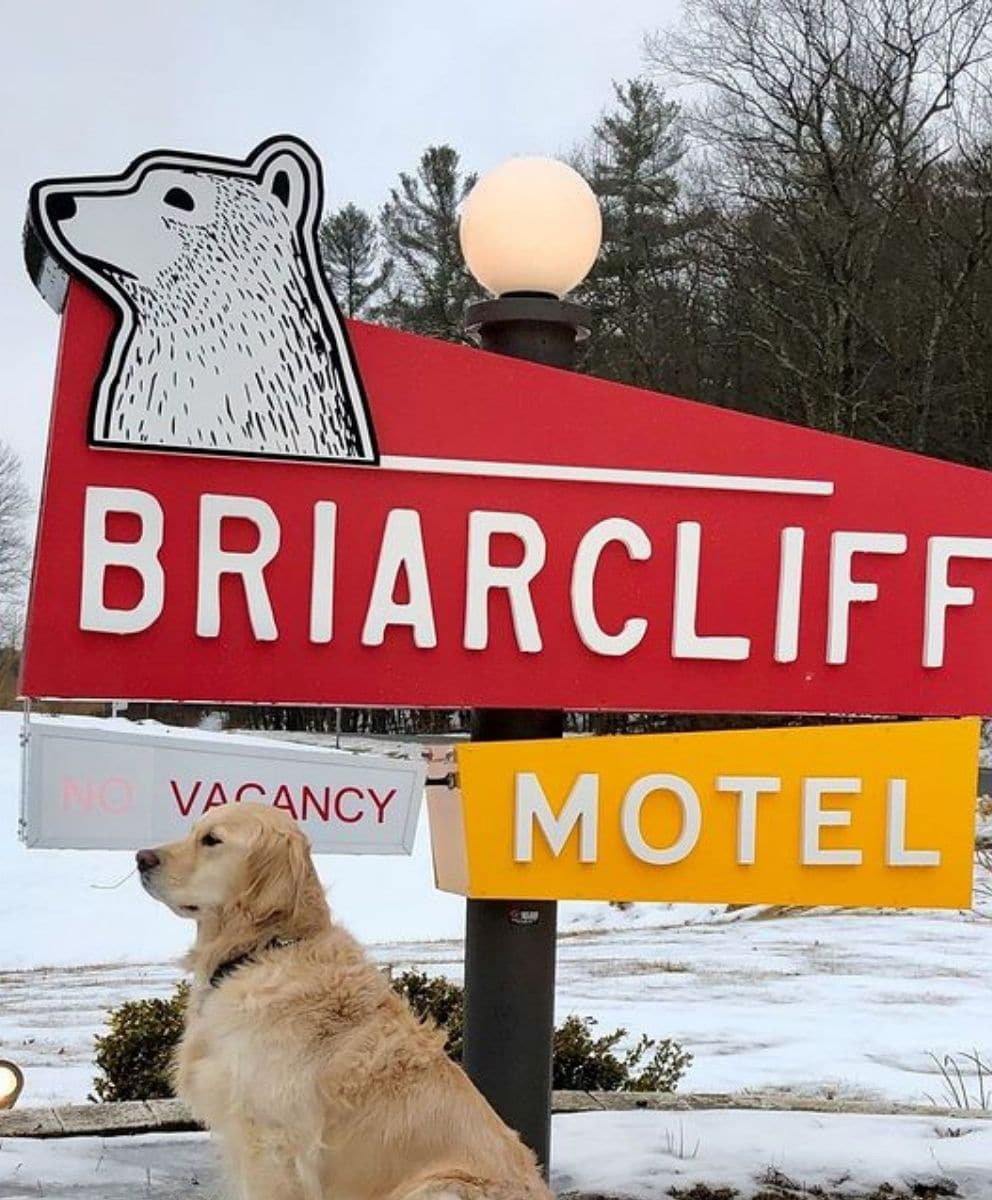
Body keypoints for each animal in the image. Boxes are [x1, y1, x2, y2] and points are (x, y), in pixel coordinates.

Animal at [135, 801, 554, 1200]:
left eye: (212, 840)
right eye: (192, 830)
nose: (141, 857)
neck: (266, 948)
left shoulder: (271, 1142)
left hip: (438, 1187)